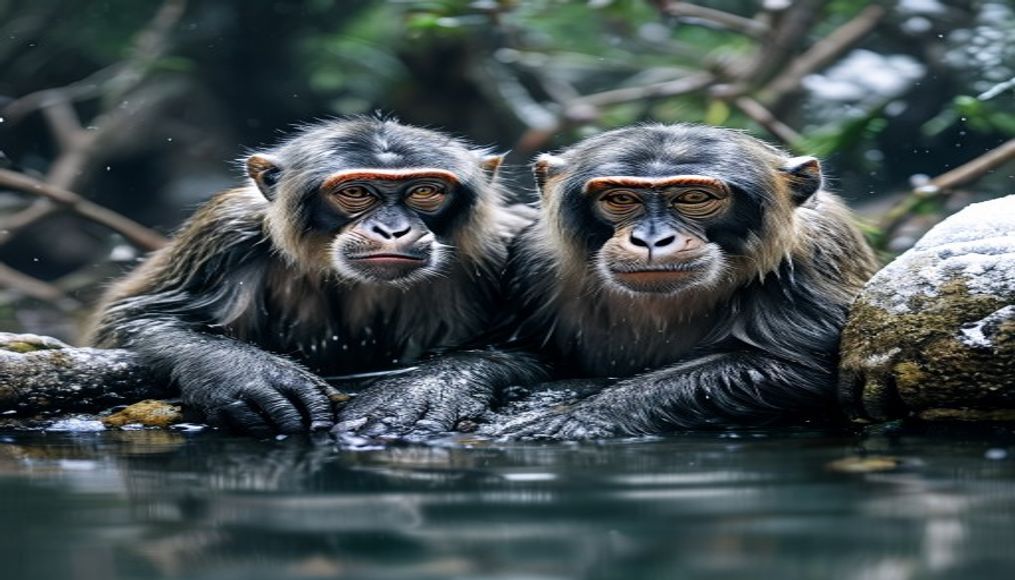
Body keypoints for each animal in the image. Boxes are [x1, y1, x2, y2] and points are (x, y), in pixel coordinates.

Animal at [88, 117, 544, 436]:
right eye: (356, 192)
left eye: (425, 191)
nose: (392, 229)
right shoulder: (225, 230)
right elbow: (140, 317)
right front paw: (247, 374)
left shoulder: (510, 245)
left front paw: (425, 390)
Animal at [458, 123, 877, 440]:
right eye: (621, 199)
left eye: (693, 197)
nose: (652, 239)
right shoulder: (531, 260)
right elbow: (511, 351)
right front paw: (445, 389)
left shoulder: (811, 255)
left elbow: (794, 365)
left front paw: (572, 418)